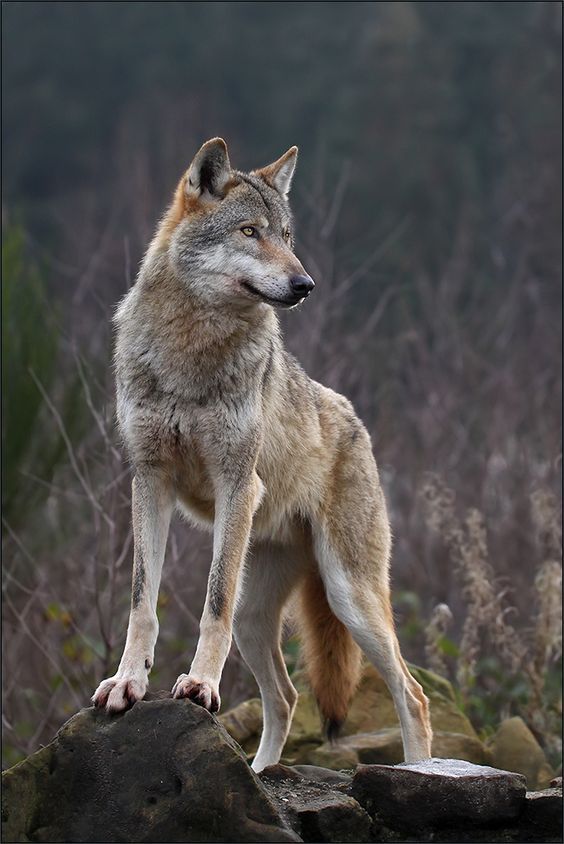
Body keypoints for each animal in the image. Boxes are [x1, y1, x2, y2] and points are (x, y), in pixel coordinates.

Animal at [92, 137, 432, 772]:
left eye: (287, 236)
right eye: (250, 232)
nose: (305, 284)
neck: (191, 349)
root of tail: (355, 419)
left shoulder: (236, 483)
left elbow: (212, 603)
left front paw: (199, 687)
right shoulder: (149, 480)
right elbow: (142, 602)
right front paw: (127, 683)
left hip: (350, 596)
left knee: (412, 694)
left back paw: (426, 772)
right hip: (261, 618)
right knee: (287, 696)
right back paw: (260, 772)